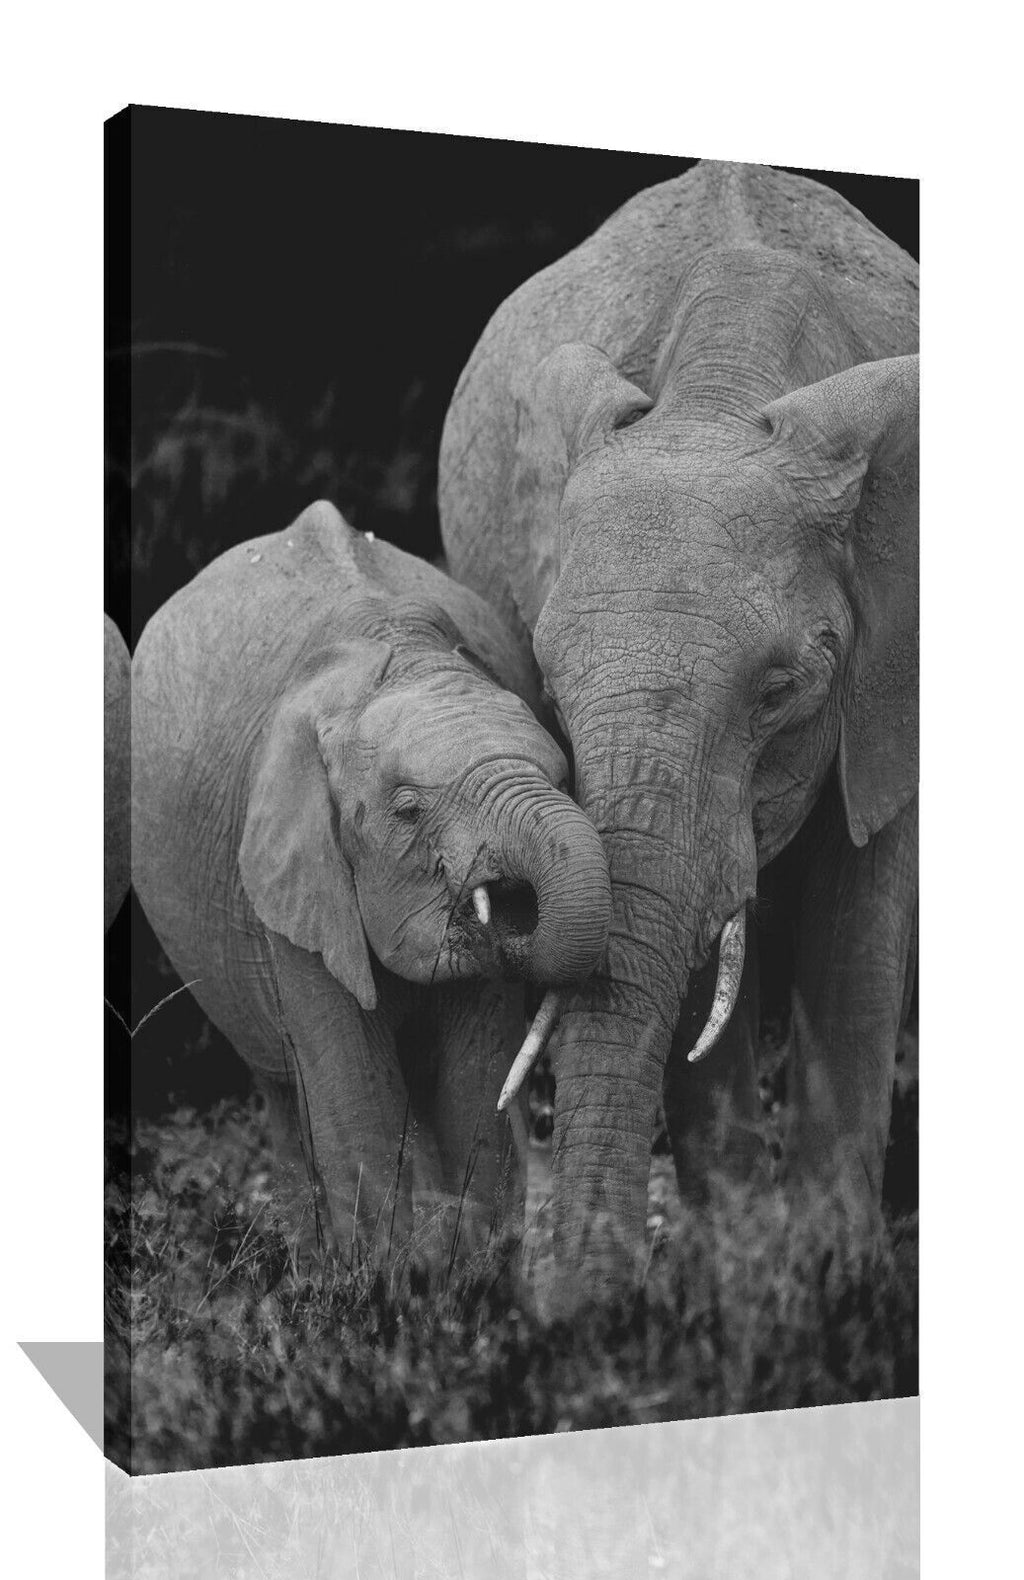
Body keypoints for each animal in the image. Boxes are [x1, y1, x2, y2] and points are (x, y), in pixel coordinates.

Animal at [131, 499, 611, 1266]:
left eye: (564, 777)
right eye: (408, 809)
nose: (519, 915)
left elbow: (473, 1090)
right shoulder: (291, 876)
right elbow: (359, 1106)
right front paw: (384, 1287)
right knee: (283, 1093)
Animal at [439, 159, 918, 1292]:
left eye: (781, 687)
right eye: (549, 685)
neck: (723, 391)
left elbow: (860, 915)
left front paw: (834, 1288)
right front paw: (736, 1286)